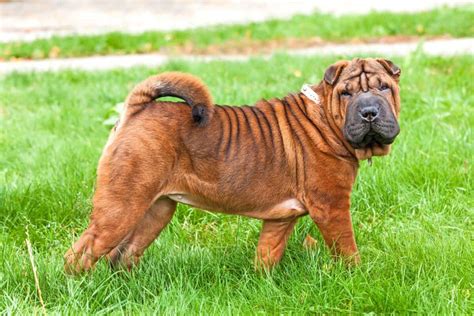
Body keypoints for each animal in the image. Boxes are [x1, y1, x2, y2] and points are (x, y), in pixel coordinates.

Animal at [65, 57, 402, 274]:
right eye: (346, 93)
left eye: (384, 87)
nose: (369, 112)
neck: (325, 120)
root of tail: (138, 111)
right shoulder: (331, 206)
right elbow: (347, 248)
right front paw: (358, 277)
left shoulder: (281, 219)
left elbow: (267, 253)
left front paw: (263, 284)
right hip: (120, 208)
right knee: (81, 253)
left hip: (156, 210)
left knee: (123, 255)